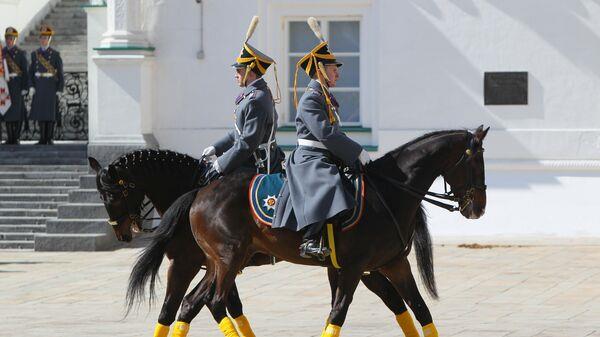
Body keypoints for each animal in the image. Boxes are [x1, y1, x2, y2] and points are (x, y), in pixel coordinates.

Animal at [90, 149, 440, 336]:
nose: (122, 234)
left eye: (111, 194)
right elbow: (205, 308)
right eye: (101, 195)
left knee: (395, 301)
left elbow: (179, 309)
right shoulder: (213, 265)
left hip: (363, 267)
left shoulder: (190, 264)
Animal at [175, 126, 488, 336]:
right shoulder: (353, 268)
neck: (390, 191)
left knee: (192, 302)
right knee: (215, 302)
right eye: (475, 160)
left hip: (220, 263)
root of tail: (201, 192)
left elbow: (420, 309)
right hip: (229, 260)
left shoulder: (393, 264)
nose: (479, 208)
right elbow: (337, 314)